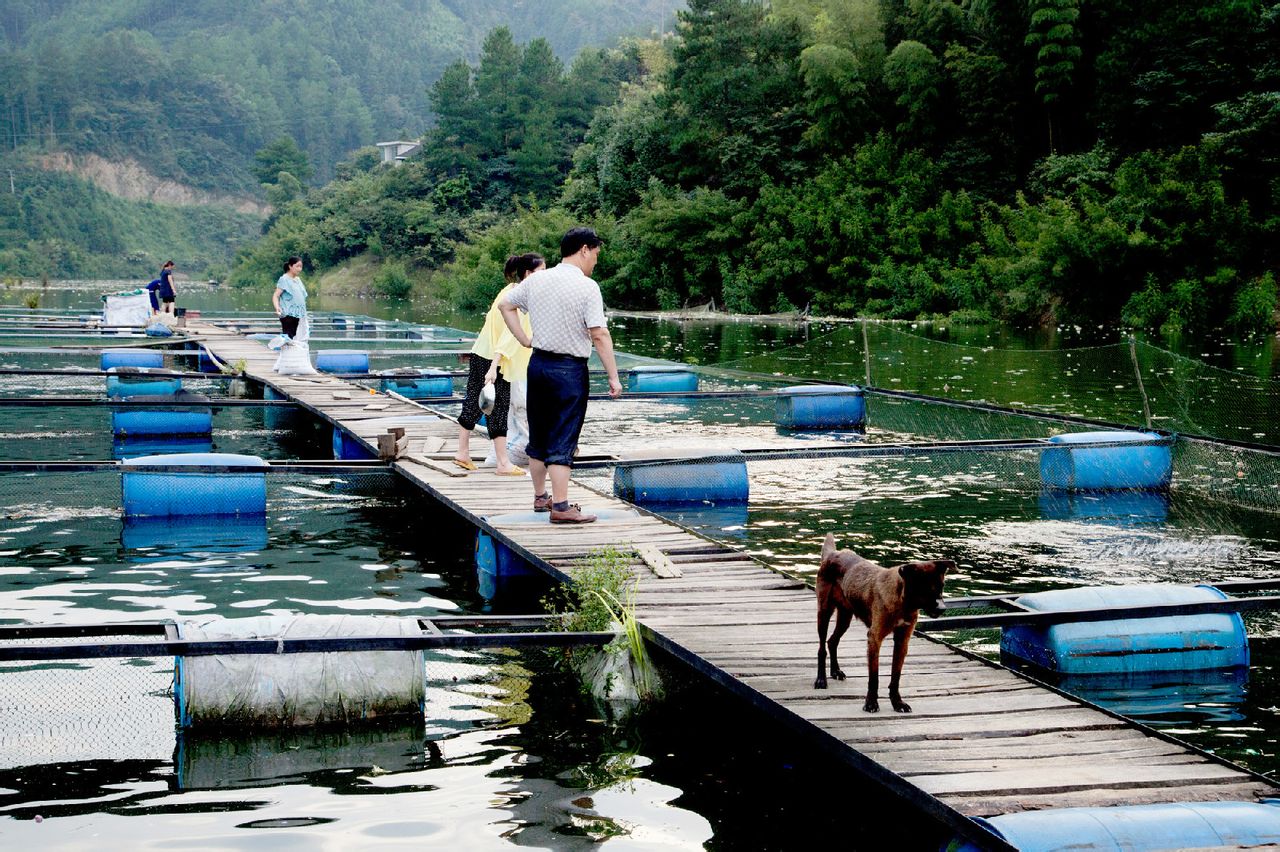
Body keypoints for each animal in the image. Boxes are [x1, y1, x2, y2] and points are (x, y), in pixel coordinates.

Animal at [808, 532, 952, 711]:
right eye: (926, 588)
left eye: (942, 586)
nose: (942, 608)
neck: (903, 602)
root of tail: (832, 554)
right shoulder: (874, 638)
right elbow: (874, 677)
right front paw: (871, 703)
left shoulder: (902, 640)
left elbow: (895, 677)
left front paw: (897, 703)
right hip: (824, 611)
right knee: (822, 647)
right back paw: (821, 680)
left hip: (845, 616)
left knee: (832, 641)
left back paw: (835, 672)